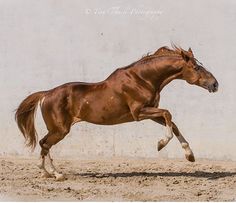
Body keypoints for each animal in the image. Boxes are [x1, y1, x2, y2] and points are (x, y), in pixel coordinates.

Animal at [14, 45, 218, 180]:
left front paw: (190, 155)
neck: (142, 79)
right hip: (60, 130)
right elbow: (169, 114)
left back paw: (49, 172)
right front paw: (160, 144)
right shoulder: (139, 113)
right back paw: (54, 173)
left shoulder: (151, 114)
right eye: (196, 67)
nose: (215, 84)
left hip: (57, 129)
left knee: (44, 143)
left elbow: (172, 123)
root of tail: (46, 93)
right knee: (44, 143)